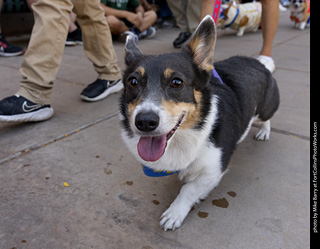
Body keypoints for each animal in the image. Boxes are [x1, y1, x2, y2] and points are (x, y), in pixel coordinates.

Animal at [119, 15, 278, 231]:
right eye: (133, 82)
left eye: (177, 82)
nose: (144, 122)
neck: (183, 137)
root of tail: (259, 63)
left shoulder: (213, 170)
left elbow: (188, 190)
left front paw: (174, 213)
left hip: (265, 109)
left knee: (266, 119)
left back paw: (264, 132)